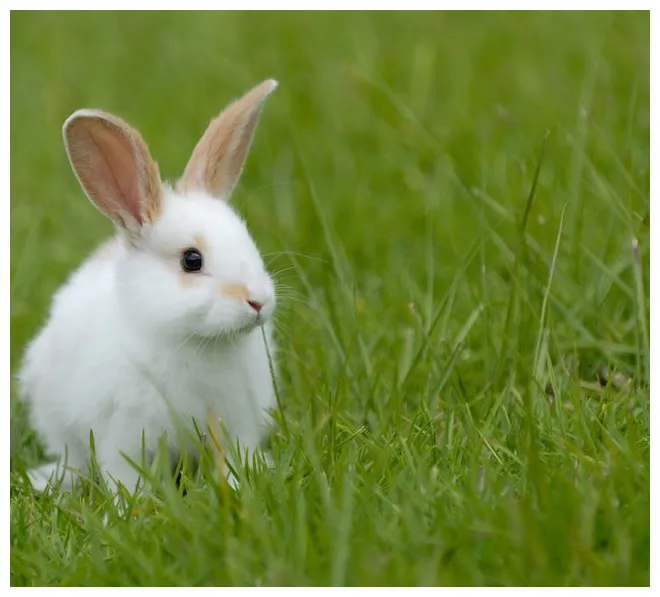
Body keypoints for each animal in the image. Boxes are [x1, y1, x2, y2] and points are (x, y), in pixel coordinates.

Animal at [18, 79, 280, 494]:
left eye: (248, 240)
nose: (258, 302)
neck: (195, 341)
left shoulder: (237, 420)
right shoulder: (122, 430)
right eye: (192, 260)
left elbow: (236, 456)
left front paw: (245, 484)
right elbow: (124, 474)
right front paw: (131, 503)